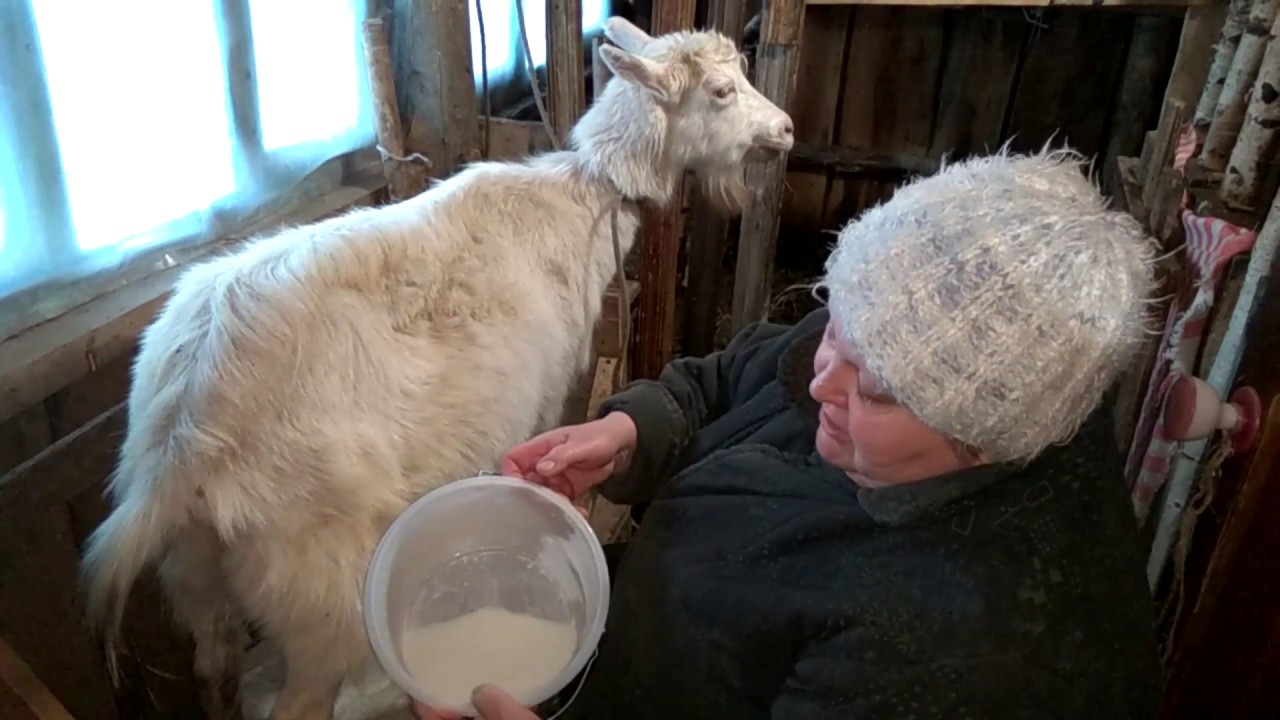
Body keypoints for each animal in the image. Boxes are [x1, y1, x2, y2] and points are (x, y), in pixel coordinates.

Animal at [80, 17, 793, 720]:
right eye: (721, 91)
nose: (785, 130)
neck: (581, 197)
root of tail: (179, 439)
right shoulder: (543, 398)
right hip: (317, 589)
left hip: (195, 575)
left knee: (215, 669)